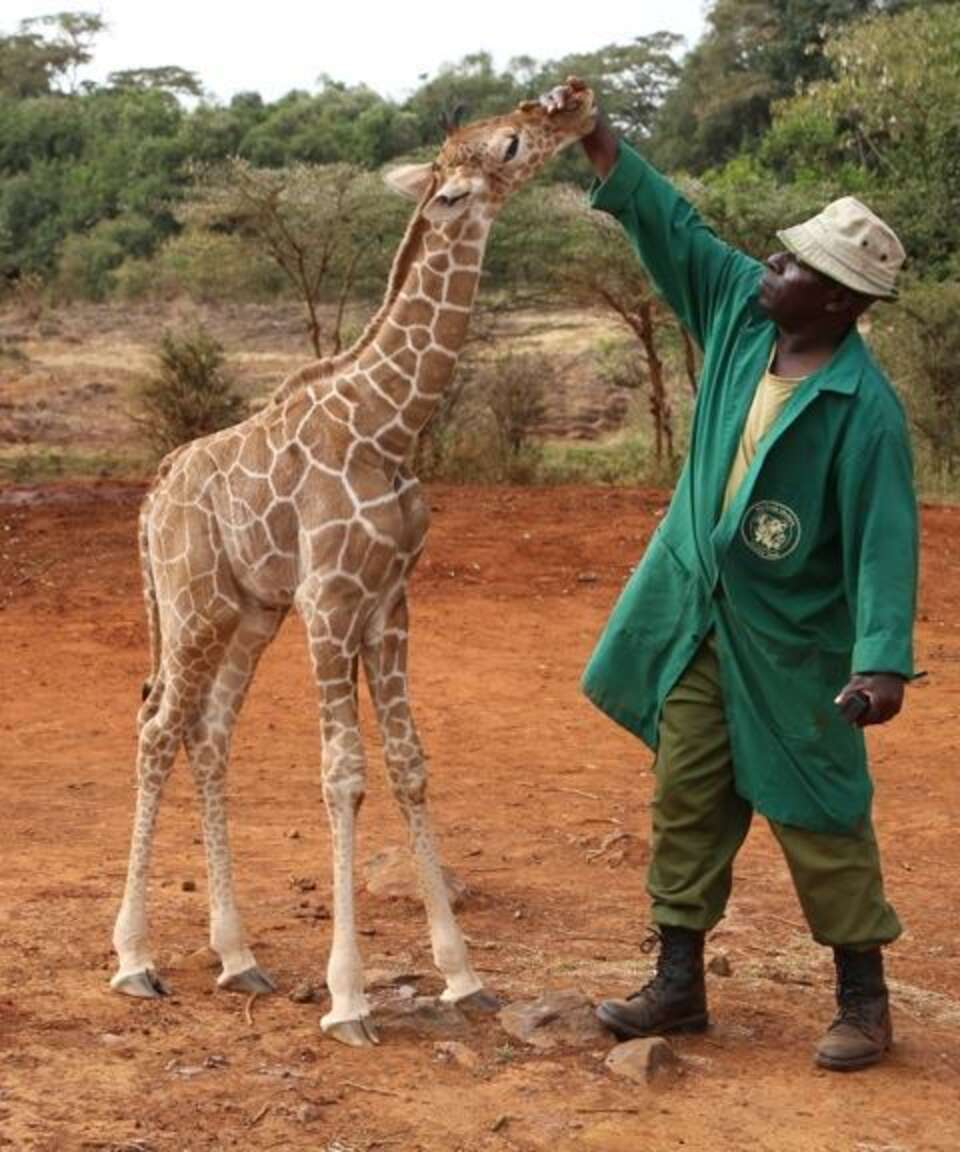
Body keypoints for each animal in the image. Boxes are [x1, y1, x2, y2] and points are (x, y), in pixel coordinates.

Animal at [110, 78, 590, 1046]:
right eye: (511, 144)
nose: (571, 100)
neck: (390, 423)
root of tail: (154, 493)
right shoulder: (330, 600)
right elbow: (343, 775)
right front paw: (349, 999)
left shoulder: (389, 602)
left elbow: (407, 762)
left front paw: (463, 976)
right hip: (191, 603)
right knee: (157, 727)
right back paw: (135, 960)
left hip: (250, 612)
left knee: (206, 733)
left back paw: (238, 958)